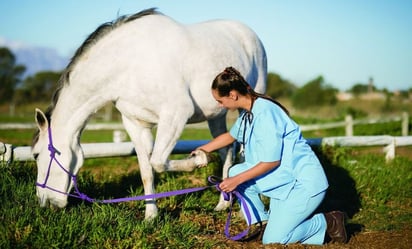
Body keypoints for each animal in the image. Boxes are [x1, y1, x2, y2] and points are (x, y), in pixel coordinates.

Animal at [32, 7, 268, 219]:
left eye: (35, 154)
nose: (44, 203)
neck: (129, 63)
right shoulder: (135, 123)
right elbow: (147, 170)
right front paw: (151, 216)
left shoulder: (176, 114)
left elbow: (158, 162)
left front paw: (199, 158)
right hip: (216, 115)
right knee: (227, 149)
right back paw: (222, 203)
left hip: (248, 104)